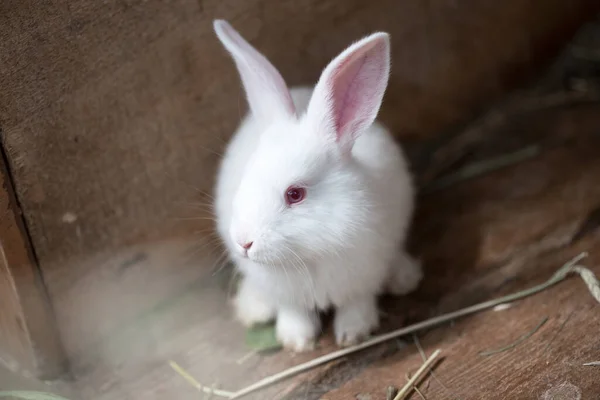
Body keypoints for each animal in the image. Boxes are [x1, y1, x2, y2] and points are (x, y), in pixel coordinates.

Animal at [211, 20, 422, 352]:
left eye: (295, 194)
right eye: (246, 178)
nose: (244, 243)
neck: (310, 252)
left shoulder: (362, 278)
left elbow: (357, 304)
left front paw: (353, 334)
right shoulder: (287, 295)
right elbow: (293, 312)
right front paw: (296, 341)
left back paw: (404, 278)